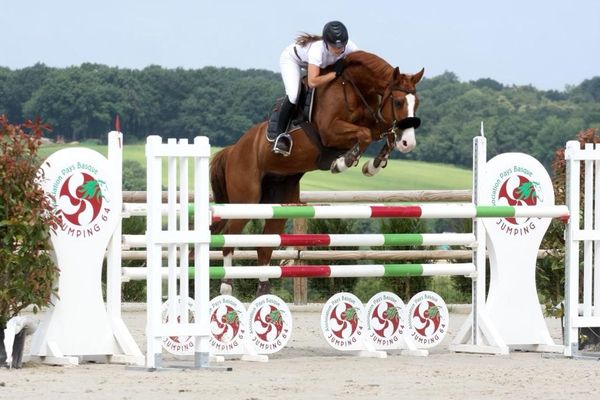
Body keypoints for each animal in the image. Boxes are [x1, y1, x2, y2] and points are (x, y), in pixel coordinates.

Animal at [211, 50, 426, 296]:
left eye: (417, 103)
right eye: (398, 101)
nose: (409, 143)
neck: (354, 90)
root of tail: (233, 149)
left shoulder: (375, 122)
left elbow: (383, 134)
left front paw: (372, 166)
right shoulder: (330, 132)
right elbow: (364, 135)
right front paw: (342, 163)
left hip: (279, 201)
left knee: (265, 244)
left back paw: (264, 291)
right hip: (246, 200)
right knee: (230, 236)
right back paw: (226, 286)